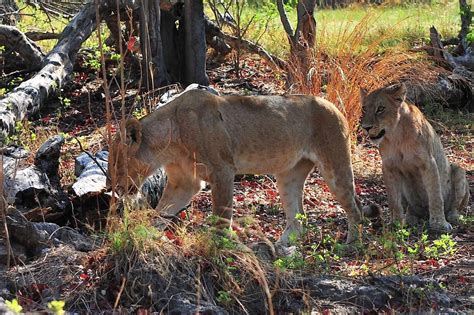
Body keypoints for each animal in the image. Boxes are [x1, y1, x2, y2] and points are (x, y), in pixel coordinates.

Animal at [109, 88, 372, 247]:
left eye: (116, 163)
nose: (114, 189)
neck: (170, 143)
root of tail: (333, 104)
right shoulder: (184, 183)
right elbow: (161, 212)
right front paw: (146, 236)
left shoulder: (222, 171)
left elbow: (221, 217)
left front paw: (219, 249)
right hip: (289, 176)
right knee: (298, 220)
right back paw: (281, 250)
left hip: (335, 166)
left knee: (355, 209)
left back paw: (351, 245)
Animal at [362, 84, 468, 232]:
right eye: (364, 109)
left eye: (380, 108)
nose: (365, 127)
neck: (396, 135)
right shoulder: (388, 167)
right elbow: (393, 200)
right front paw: (395, 224)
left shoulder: (428, 163)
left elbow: (435, 196)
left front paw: (439, 224)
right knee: (410, 209)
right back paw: (409, 219)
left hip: (459, 170)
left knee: (454, 207)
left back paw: (454, 217)